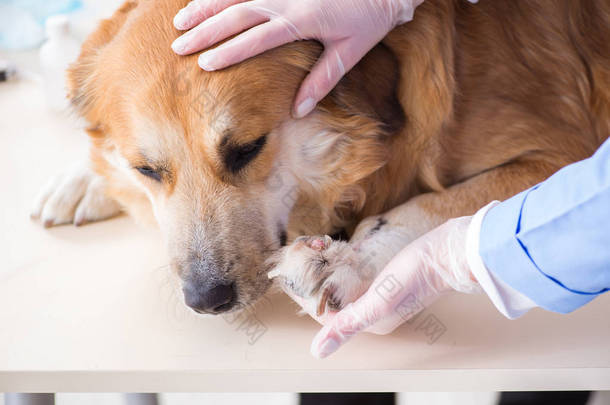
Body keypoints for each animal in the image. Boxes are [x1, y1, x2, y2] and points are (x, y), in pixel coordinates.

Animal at [32, 0, 608, 316]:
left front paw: (350, 260)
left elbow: (428, 206)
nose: (206, 299)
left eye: (247, 149)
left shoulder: (561, 149)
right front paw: (85, 177)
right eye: (147, 169)